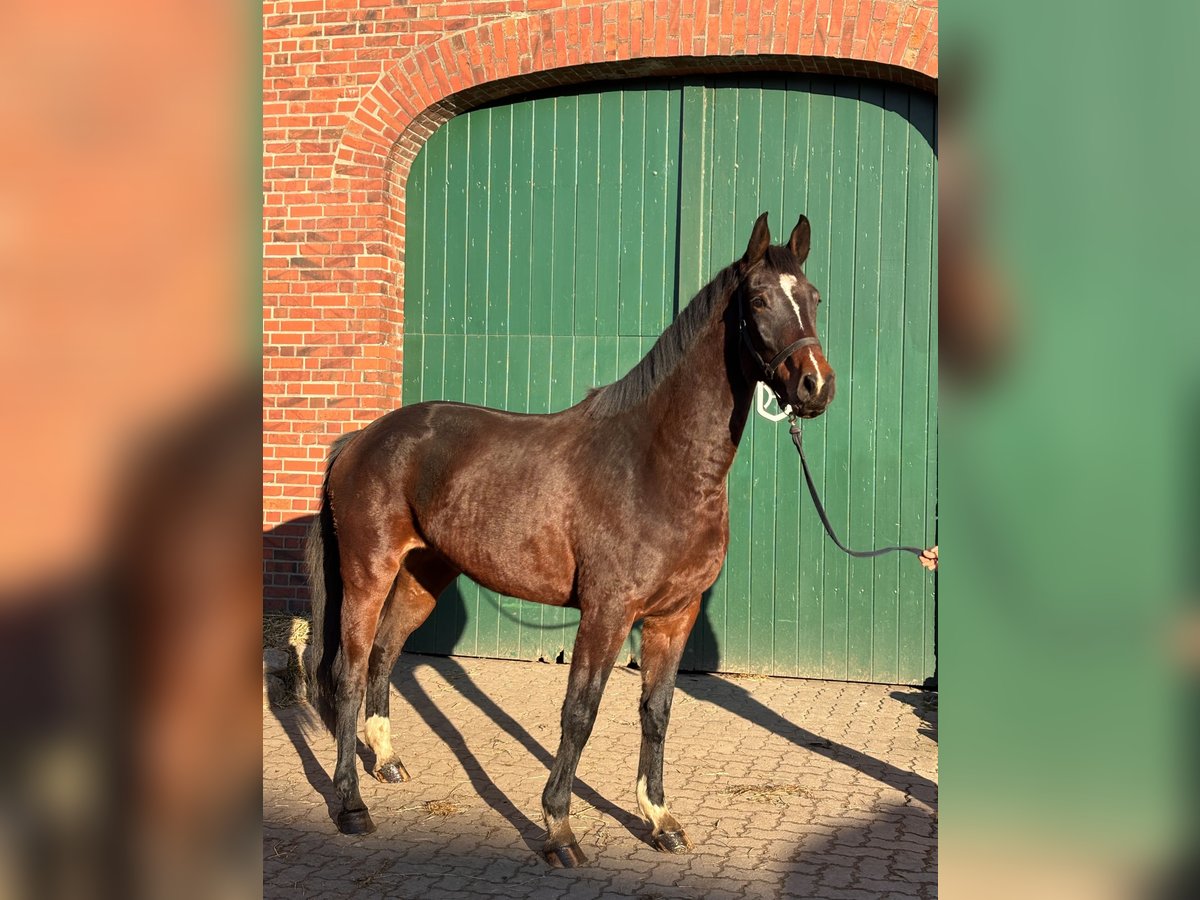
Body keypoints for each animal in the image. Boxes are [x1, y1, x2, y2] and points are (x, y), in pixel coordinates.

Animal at [304, 211, 840, 868]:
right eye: (760, 299)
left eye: (813, 297)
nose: (816, 386)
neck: (657, 464)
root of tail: (358, 439)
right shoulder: (607, 612)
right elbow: (580, 713)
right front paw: (559, 828)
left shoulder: (675, 616)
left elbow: (657, 712)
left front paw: (659, 819)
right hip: (368, 573)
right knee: (350, 671)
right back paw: (351, 804)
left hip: (425, 574)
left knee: (384, 653)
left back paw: (386, 762)